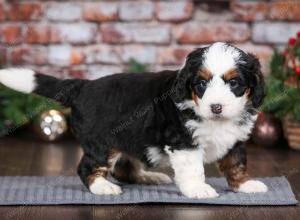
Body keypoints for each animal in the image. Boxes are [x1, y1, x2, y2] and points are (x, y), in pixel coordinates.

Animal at [0, 42, 268, 198]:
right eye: (201, 84)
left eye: (234, 83)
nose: (216, 107)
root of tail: (82, 86)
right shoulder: (183, 143)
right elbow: (193, 169)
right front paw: (197, 189)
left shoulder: (235, 140)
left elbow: (236, 164)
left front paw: (245, 185)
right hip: (102, 143)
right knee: (87, 167)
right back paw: (103, 187)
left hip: (129, 138)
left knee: (124, 166)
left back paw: (148, 177)